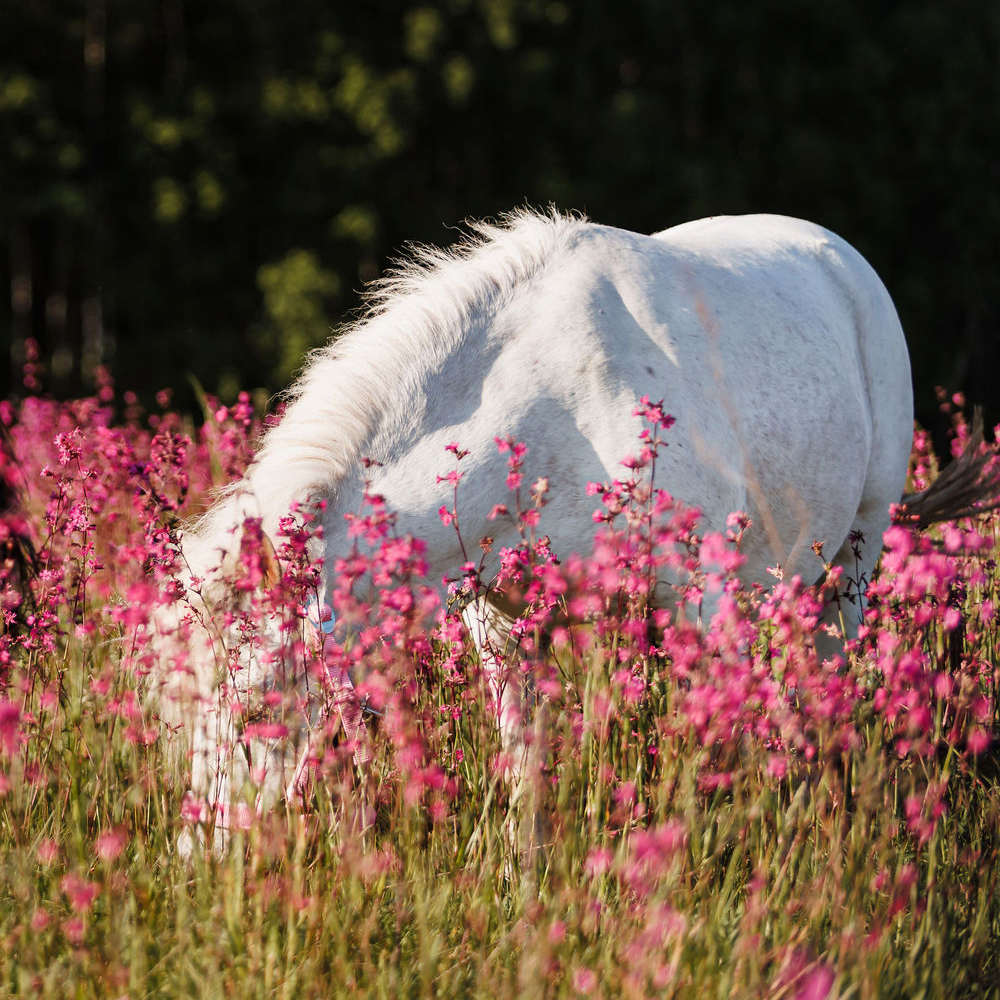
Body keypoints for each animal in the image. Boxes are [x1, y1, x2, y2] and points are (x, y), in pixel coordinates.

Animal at [158, 207, 984, 848]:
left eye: (259, 709)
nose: (204, 862)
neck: (553, 405)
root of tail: (838, 256)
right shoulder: (504, 622)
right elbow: (527, 769)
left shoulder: (703, 602)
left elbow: (723, 744)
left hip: (851, 568)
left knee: (828, 694)